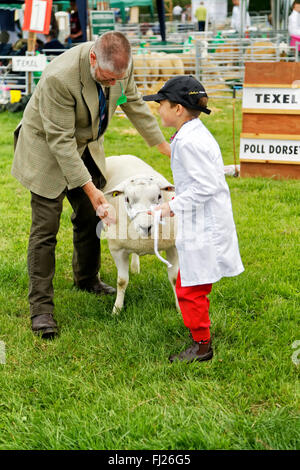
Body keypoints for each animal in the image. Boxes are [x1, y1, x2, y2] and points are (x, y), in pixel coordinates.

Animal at [102, 156, 179, 314]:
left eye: (159, 196)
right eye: (126, 199)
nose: (146, 227)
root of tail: (121, 156)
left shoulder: (173, 246)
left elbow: (174, 279)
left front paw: (180, 308)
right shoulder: (117, 249)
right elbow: (122, 281)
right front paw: (117, 310)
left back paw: (135, 267)